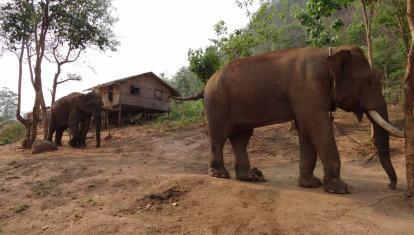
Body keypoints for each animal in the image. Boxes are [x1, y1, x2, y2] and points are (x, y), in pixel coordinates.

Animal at [172, 45, 404, 194]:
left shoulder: (307, 96)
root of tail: (205, 85)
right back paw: (220, 175)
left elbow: (306, 128)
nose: (391, 186)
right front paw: (340, 189)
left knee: (241, 138)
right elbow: (318, 125)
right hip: (216, 103)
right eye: (369, 80)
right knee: (219, 136)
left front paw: (311, 185)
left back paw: (249, 177)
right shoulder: (307, 89)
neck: (330, 51)